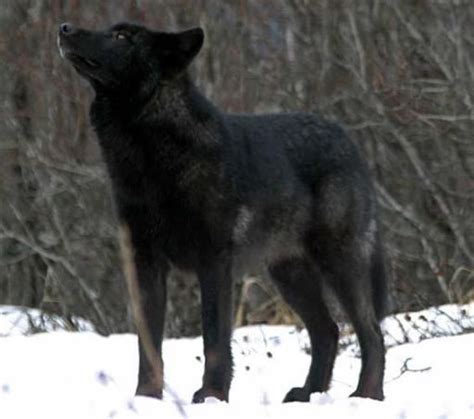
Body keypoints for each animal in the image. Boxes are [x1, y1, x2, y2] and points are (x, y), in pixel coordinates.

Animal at [57, 22, 386, 404]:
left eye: (123, 37)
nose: (64, 27)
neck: (153, 158)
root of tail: (348, 140)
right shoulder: (145, 264)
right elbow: (148, 345)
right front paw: (146, 399)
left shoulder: (214, 263)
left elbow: (214, 338)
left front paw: (212, 395)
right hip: (289, 276)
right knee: (328, 332)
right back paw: (307, 394)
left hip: (339, 265)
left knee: (371, 334)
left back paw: (366, 397)